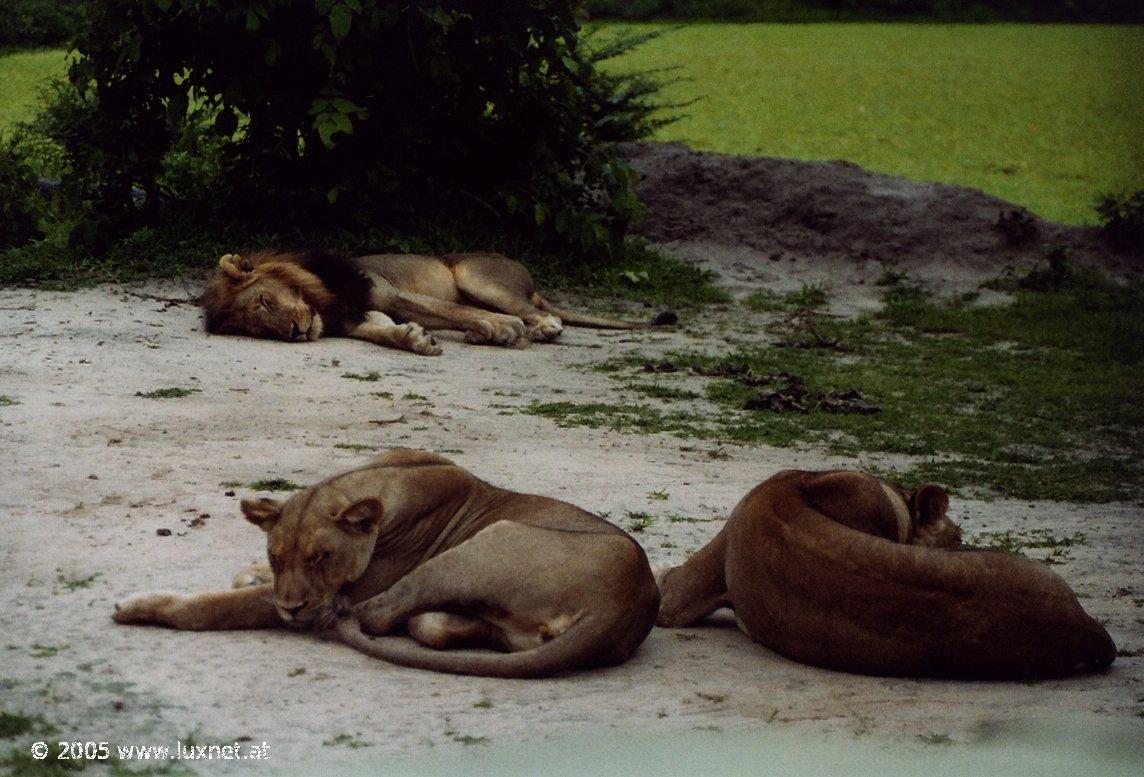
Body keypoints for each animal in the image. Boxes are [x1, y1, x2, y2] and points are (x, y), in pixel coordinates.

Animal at [116, 453, 663, 677]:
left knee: (376, 616)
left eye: (321, 557)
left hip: (487, 540)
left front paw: (139, 606)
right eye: (277, 555)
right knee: (429, 626)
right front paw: (251, 572)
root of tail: (629, 601)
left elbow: (211, 607)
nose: (292, 610)